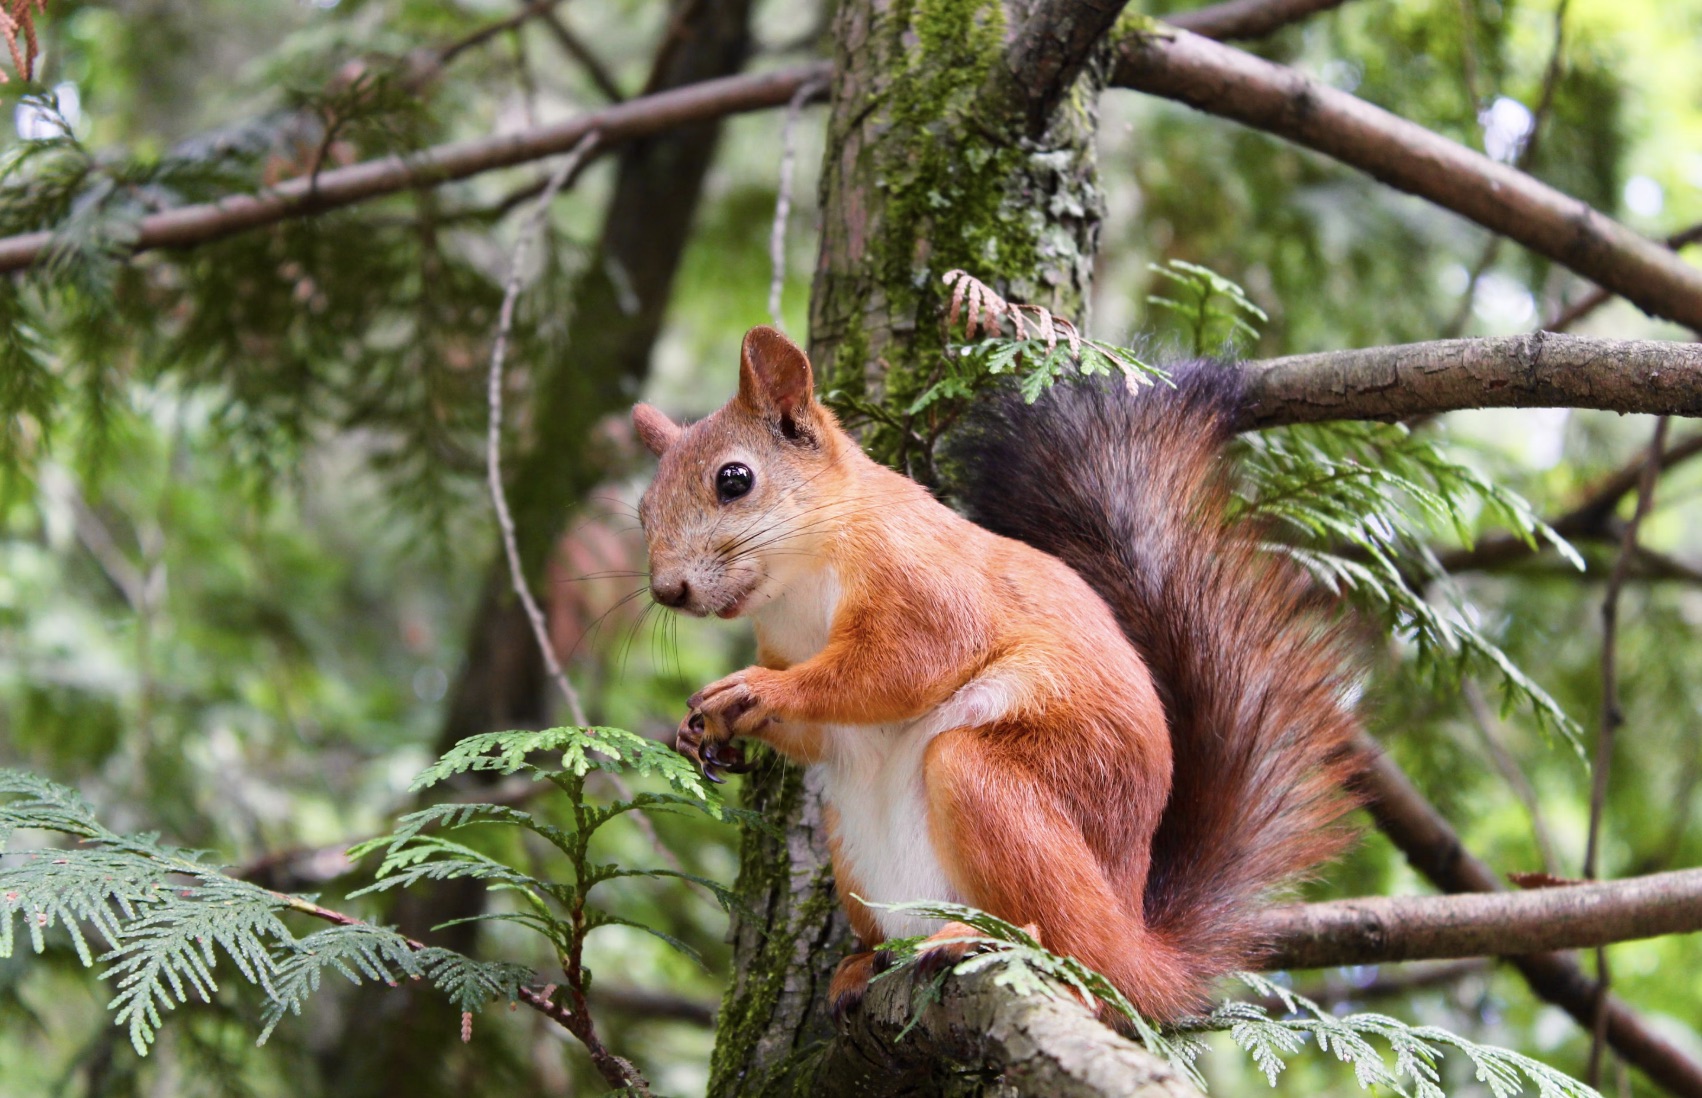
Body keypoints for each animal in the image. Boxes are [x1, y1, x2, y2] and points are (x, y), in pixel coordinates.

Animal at [632, 324, 1363, 1023]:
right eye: (642, 510)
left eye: (734, 479)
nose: (667, 591)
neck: (800, 584)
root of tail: (1137, 947)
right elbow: (821, 732)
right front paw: (703, 732)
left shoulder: (925, 585)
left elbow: (896, 669)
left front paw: (756, 690)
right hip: (853, 846)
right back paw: (864, 963)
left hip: (997, 786)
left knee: (1076, 956)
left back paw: (985, 940)